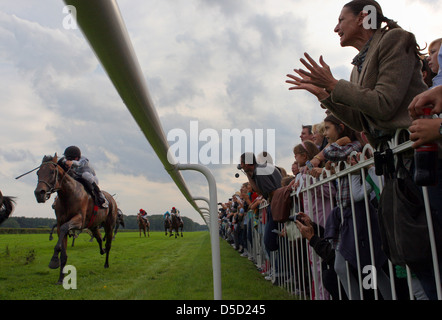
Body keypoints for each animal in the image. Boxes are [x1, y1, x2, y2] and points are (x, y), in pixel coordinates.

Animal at [34, 154, 118, 284]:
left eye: (52, 172)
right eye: (38, 173)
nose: (39, 193)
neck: (69, 194)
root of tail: (111, 199)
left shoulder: (79, 220)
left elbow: (65, 229)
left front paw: (54, 260)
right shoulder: (60, 223)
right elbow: (63, 253)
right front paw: (60, 278)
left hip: (109, 225)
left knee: (108, 243)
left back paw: (106, 263)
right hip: (94, 225)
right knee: (99, 239)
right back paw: (102, 250)